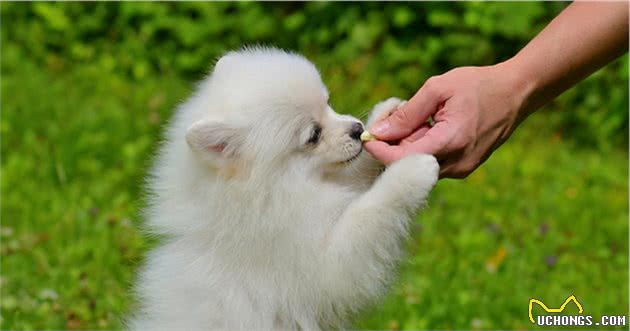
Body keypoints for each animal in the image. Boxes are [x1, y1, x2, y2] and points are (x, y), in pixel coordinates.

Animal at [130, 48, 440, 330]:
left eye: (328, 103)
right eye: (313, 135)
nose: (356, 128)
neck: (273, 192)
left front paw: (385, 117)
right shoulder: (324, 265)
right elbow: (370, 212)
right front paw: (414, 170)